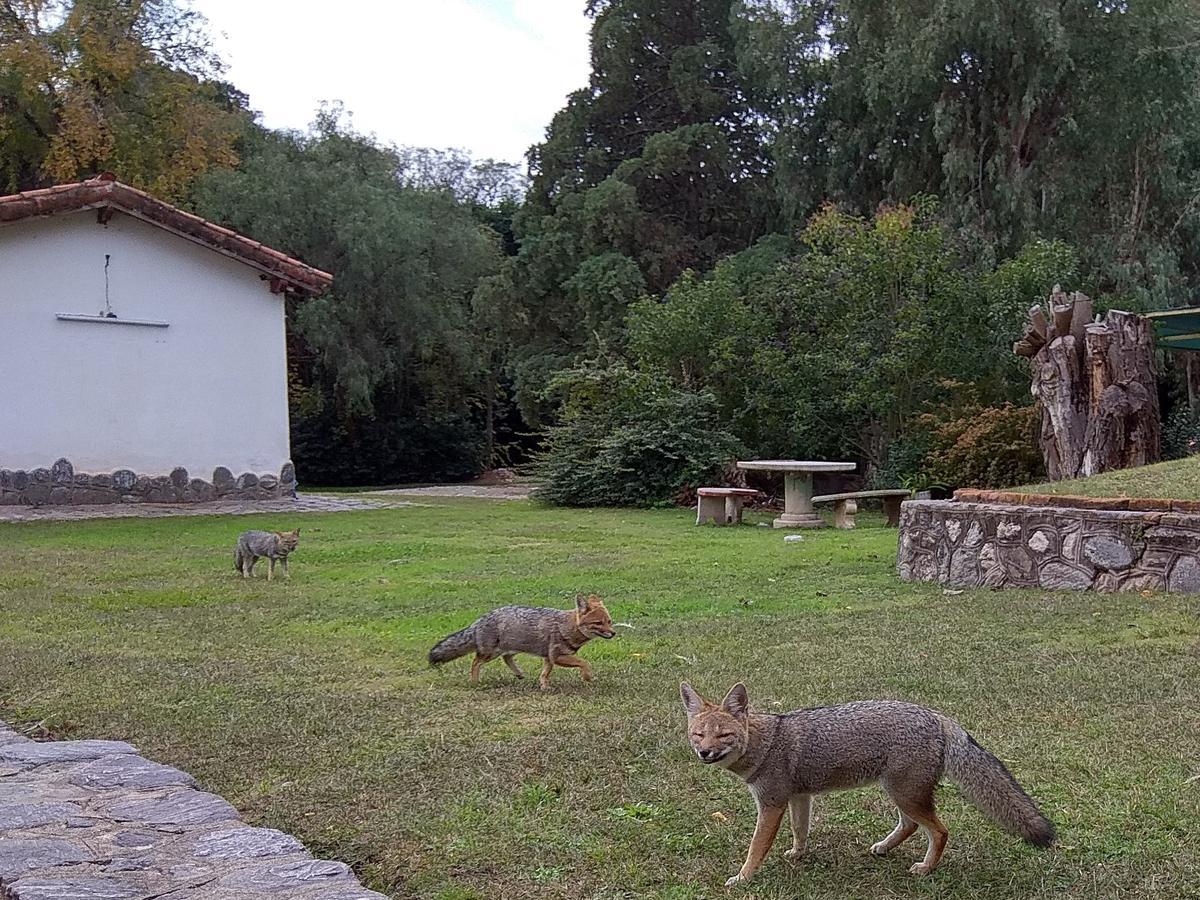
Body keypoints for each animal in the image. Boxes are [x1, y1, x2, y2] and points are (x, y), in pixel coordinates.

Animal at [427, 595, 614, 696]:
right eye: (599, 623)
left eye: (609, 621)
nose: (613, 633)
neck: (567, 626)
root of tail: (479, 620)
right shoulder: (557, 656)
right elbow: (584, 663)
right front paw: (587, 677)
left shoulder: (548, 658)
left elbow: (544, 674)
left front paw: (544, 687)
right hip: (490, 653)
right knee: (475, 662)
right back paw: (475, 681)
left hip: (510, 649)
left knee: (506, 658)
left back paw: (519, 674)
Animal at [681, 681, 1056, 888]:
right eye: (698, 734)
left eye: (723, 735)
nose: (704, 752)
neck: (767, 741)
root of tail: (936, 715)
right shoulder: (799, 797)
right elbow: (800, 830)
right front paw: (797, 854)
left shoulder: (771, 804)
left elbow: (756, 848)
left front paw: (743, 878)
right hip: (900, 794)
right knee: (910, 826)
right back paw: (884, 848)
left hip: (905, 794)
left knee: (939, 831)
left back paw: (925, 868)